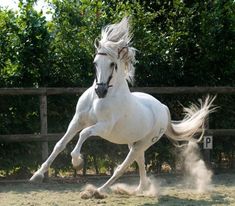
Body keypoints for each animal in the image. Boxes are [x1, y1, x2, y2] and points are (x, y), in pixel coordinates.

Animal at [29, 17, 215, 196]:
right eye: (95, 63)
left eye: (112, 64)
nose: (100, 90)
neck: (100, 99)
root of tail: (162, 108)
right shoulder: (77, 120)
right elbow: (60, 144)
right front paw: (37, 175)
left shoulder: (103, 127)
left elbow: (84, 134)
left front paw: (77, 162)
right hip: (134, 142)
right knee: (140, 162)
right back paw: (139, 189)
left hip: (144, 143)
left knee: (124, 166)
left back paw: (98, 190)